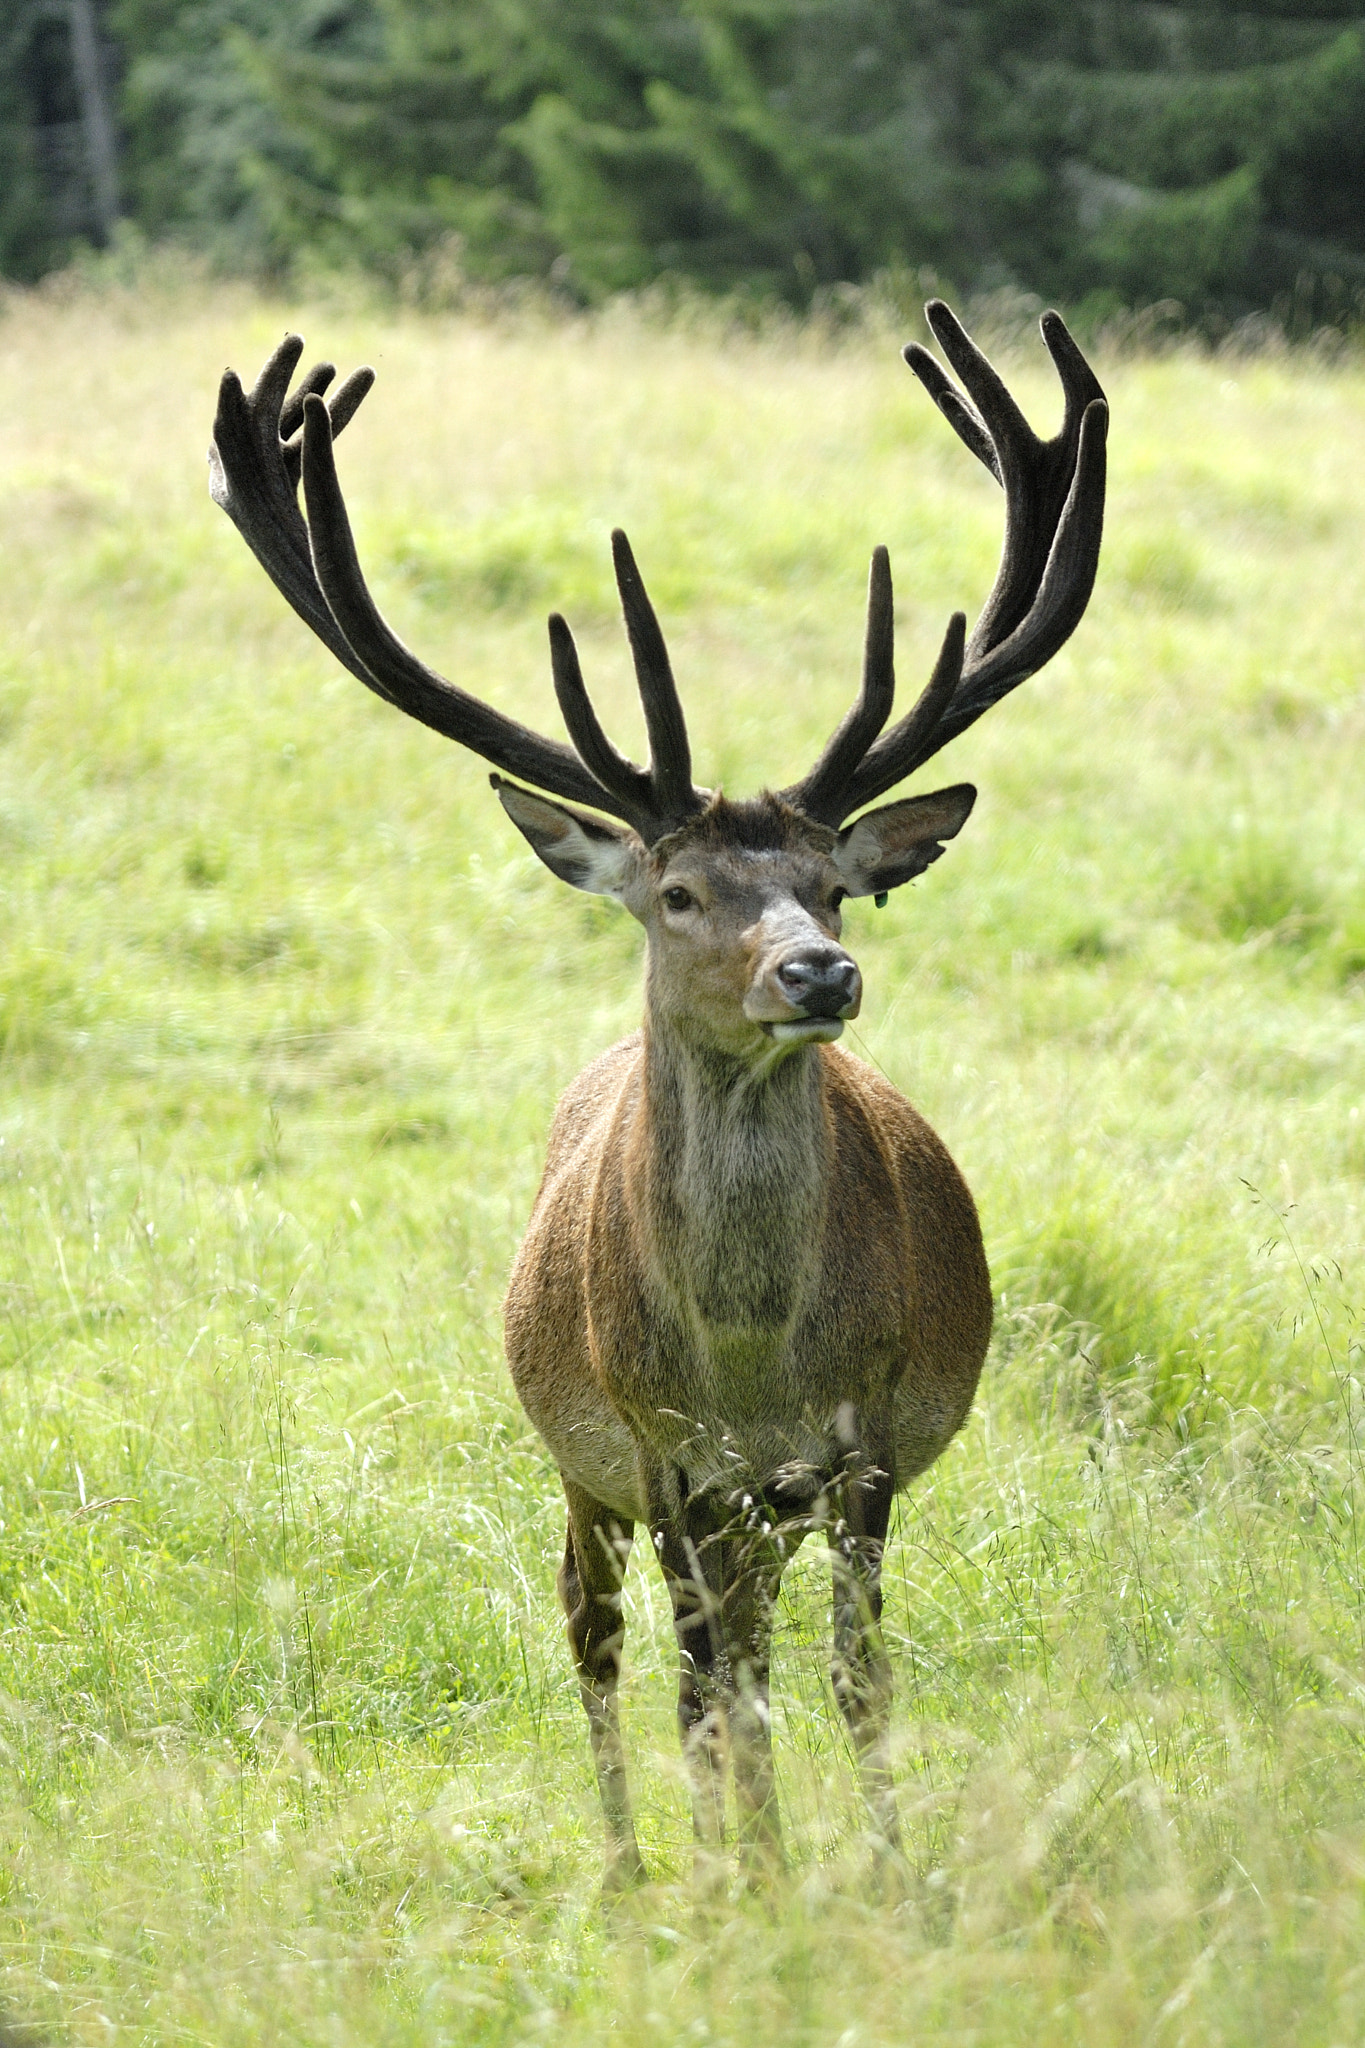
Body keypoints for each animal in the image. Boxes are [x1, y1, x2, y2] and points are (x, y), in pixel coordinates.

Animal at [209, 301, 1107, 1889]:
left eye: (830, 882)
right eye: (679, 891)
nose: (820, 970)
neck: (750, 1358)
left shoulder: (866, 1443)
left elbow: (850, 1677)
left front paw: (877, 1880)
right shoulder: (665, 1450)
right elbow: (710, 1691)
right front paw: (744, 1888)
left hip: (756, 1505)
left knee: (732, 1648)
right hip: (587, 1463)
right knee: (601, 1633)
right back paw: (636, 1870)